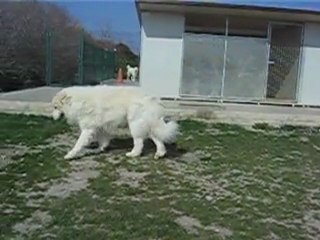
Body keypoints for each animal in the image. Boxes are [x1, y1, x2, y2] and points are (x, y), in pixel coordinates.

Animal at [51, 85, 179, 160]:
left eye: (55, 107)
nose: (52, 118)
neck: (76, 102)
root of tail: (152, 98)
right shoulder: (100, 127)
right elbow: (103, 140)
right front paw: (100, 149)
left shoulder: (88, 128)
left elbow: (78, 144)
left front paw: (70, 155)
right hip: (146, 124)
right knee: (157, 139)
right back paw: (160, 153)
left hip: (135, 124)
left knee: (139, 142)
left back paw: (133, 154)